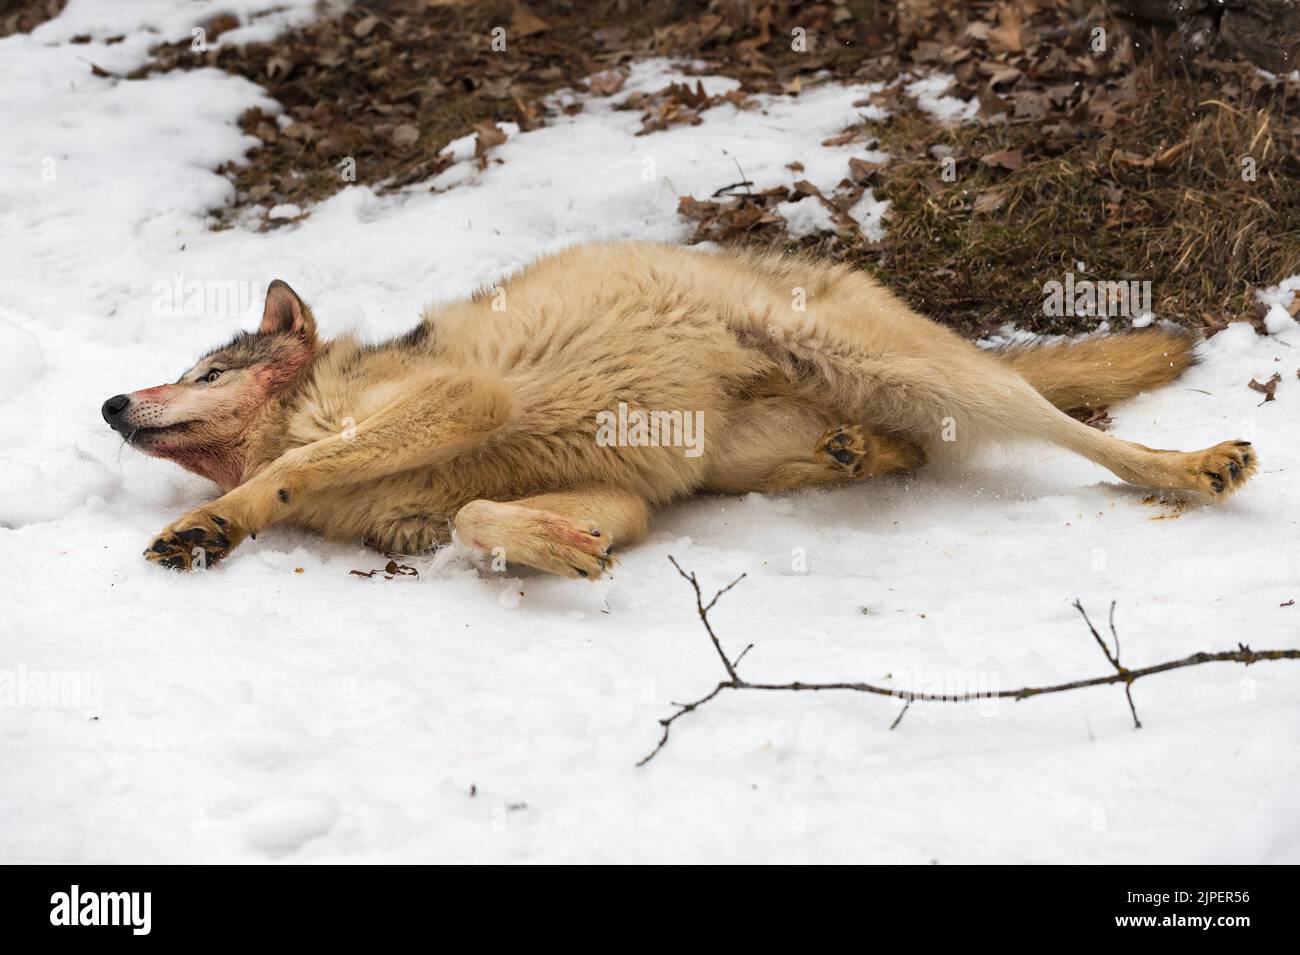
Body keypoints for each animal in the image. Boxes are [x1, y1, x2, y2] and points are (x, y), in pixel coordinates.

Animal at [104, 242, 1258, 579]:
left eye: (205, 373)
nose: (112, 400)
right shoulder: (620, 496)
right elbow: (478, 519)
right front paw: (558, 547)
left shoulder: (460, 397)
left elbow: (293, 469)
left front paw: (213, 523)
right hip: (743, 452)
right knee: (905, 453)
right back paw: (850, 452)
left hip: (917, 371)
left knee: (1074, 434)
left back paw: (1196, 466)